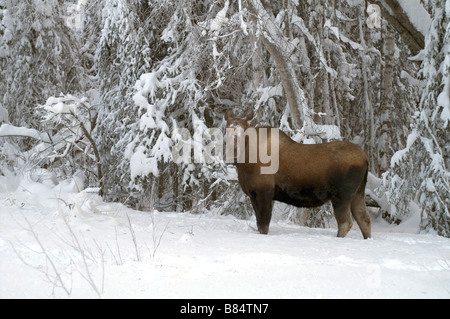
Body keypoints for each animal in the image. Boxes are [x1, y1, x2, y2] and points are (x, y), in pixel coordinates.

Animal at [227, 109, 370, 239]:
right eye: (227, 129)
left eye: (243, 132)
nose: (232, 152)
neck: (245, 162)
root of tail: (366, 159)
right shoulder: (254, 195)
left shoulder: (264, 192)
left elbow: (263, 226)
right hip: (358, 192)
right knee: (364, 219)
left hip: (341, 195)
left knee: (346, 222)